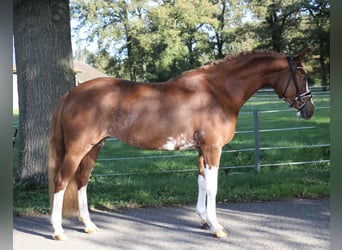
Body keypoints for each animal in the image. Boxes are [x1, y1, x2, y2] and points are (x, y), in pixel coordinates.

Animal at [48, 49, 316, 240]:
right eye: (302, 76)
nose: (310, 110)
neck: (217, 93)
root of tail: (71, 94)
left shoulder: (201, 150)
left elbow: (201, 183)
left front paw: (204, 220)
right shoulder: (213, 149)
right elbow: (213, 187)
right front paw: (217, 227)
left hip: (95, 147)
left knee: (82, 180)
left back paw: (89, 225)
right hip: (77, 149)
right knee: (62, 181)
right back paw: (58, 231)